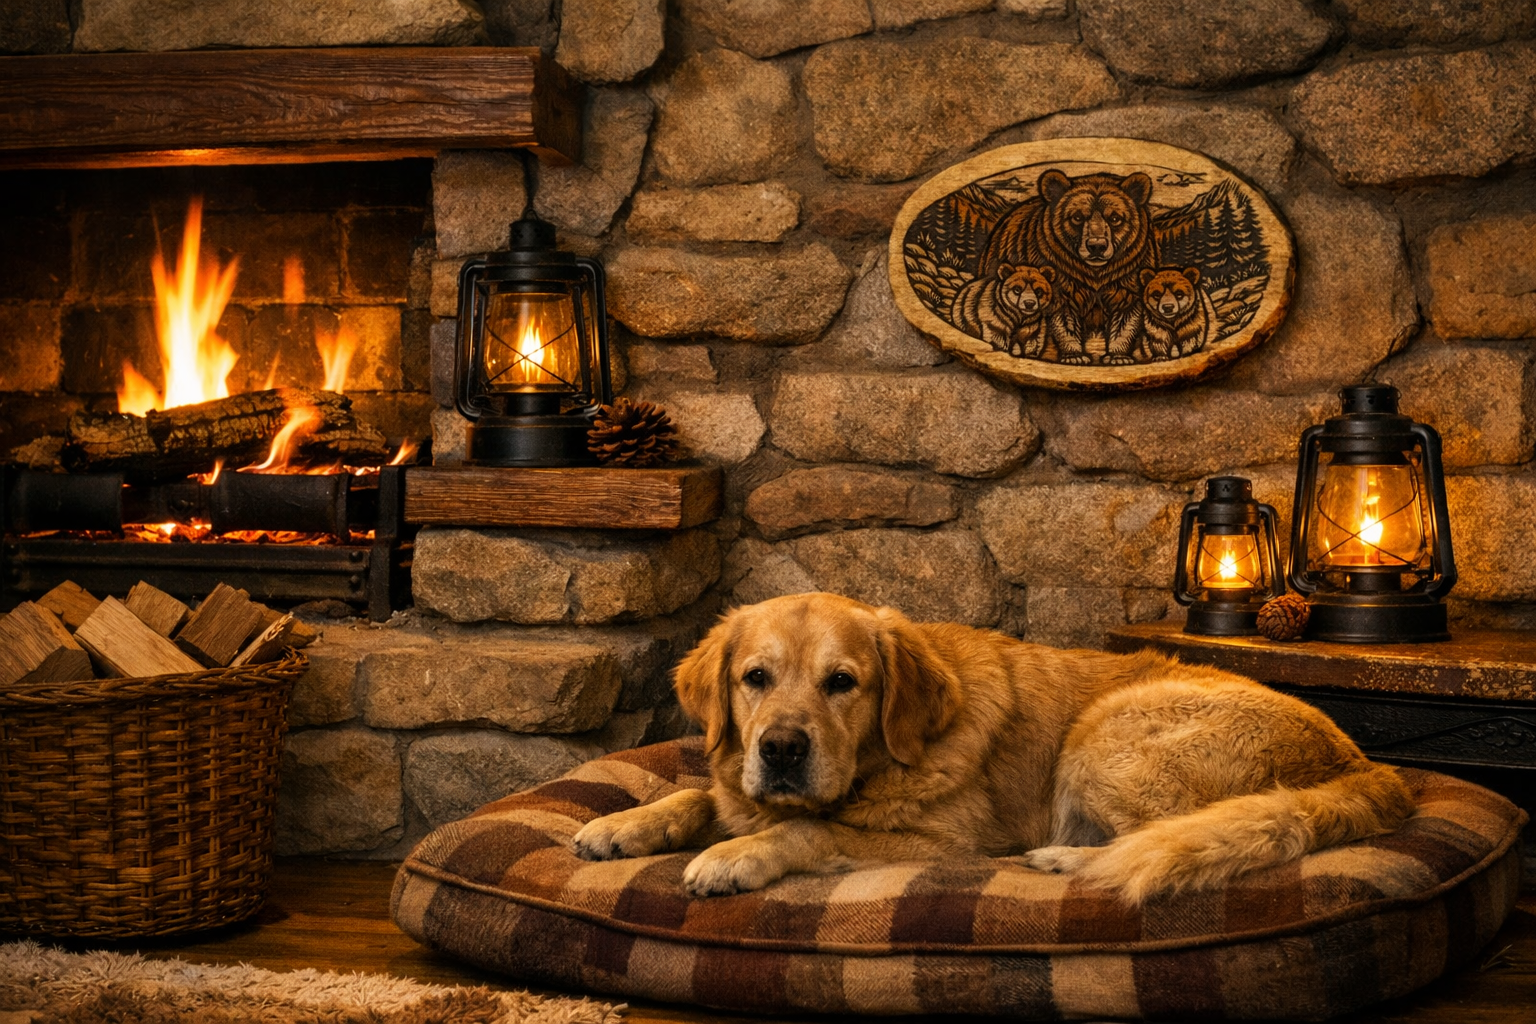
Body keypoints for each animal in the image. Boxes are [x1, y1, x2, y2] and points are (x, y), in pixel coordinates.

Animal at [979, 169, 1159, 366]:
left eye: (1115, 218)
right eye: (1077, 217)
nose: (1097, 246)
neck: (1094, 273)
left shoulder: (1127, 276)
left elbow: (1125, 318)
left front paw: (1118, 357)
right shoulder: (1062, 277)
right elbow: (1065, 320)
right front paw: (1075, 356)